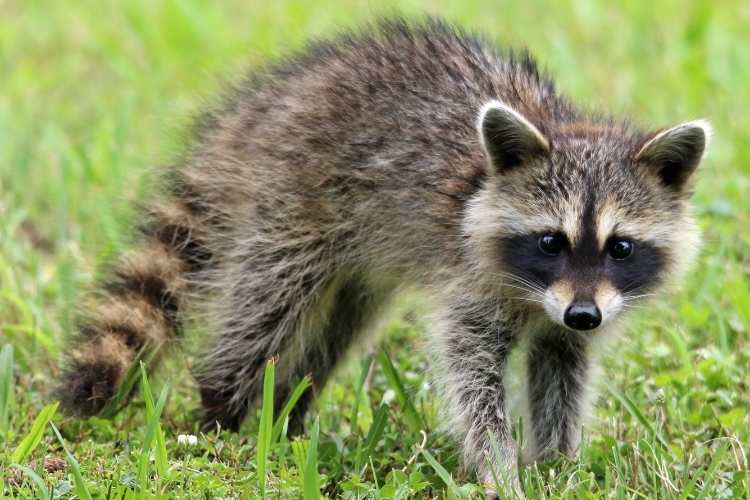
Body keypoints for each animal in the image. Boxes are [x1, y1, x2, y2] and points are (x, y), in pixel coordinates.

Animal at [57, 18, 710, 490]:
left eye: (620, 247)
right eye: (552, 241)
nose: (584, 314)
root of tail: (269, 101)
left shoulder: (572, 314)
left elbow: (562, 370)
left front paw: (556, 463)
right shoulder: (470, 280)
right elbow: (470, 374)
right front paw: (499, 467)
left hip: (356, 259)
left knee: (337, 327)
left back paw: (289, 410)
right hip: (293, 198)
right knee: (266, 304)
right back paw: (222, 409)